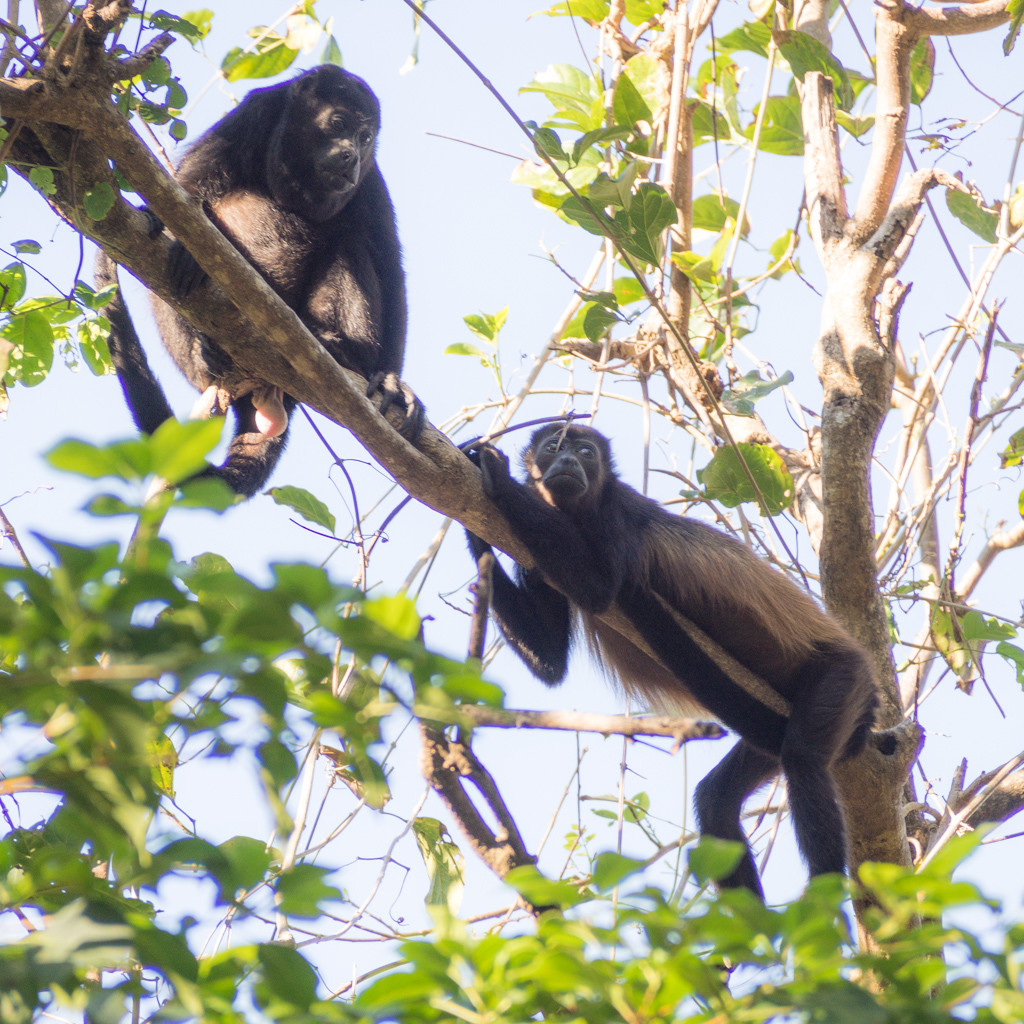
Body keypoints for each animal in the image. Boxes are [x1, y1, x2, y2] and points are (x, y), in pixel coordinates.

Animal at [96, 62, 423, 495]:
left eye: (366, 137)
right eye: (339, 123)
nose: (351, 154)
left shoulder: (370, 182)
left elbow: (389, 266)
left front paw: (389, 380)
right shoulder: (250, 118)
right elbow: (183, 192)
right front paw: (169, 221)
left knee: (350, 241)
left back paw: (340, 348)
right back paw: (207, 353)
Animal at [464, 423, 880, 897]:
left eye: (586, 452)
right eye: (554, 447)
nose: (568, 460)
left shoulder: (618, 511)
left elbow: (599, 589)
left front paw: (497, 475)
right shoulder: (530, 557)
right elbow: (550, 660)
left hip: (842, 677)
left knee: (804, 760)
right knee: (717, 798)